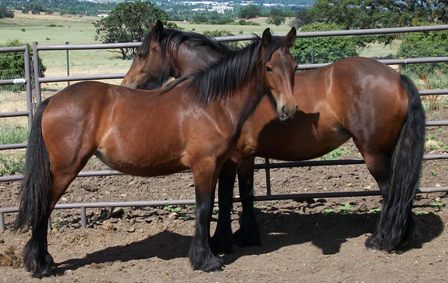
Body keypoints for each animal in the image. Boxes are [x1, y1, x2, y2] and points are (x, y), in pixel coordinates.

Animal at [14, 28, 300, 278]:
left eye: (295, 66)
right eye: (268, 68)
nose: (289, 109)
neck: (211, 103)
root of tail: (53, 100)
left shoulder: (221, 163)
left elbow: (220, 202)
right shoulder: (205, 165)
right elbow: (204, 208)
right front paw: (205, 260)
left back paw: (43, 261)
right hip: (65, 169)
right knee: (44, 207)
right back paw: (40, 266)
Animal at [123, 20, 428, 255]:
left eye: (141, 53)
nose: (126, 85)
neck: (225, 92)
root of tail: (397, 78)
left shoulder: (234, 157)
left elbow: (229, 196)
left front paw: (226, 240)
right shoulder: (239, 157)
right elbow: (240, 194)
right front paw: (242, 236)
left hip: (373, 152)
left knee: (390, 190)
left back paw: (384, 239)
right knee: (401, 189)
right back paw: (404, 235)